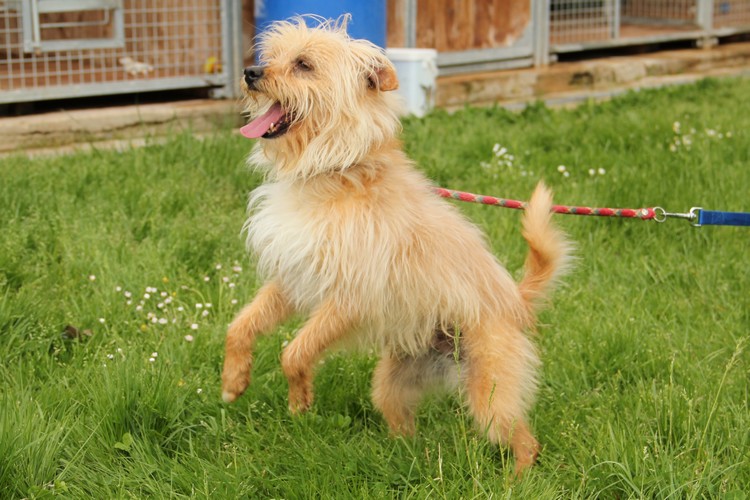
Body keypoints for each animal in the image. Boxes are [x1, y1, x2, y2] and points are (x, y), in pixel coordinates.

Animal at [220, 16, 572, 476]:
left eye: (304, 65)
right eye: (270, 56)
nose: (250, 72)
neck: (335, 171)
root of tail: (517, 301)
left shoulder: (348, 298)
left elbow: (293, 353)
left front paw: (298, 399)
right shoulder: (295, 278)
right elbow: (241, 325)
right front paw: (233, 380)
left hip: (492, 395)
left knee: (525, 442)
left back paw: (517, 481)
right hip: (393, 381)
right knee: (402, 421)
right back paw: (397, 458)